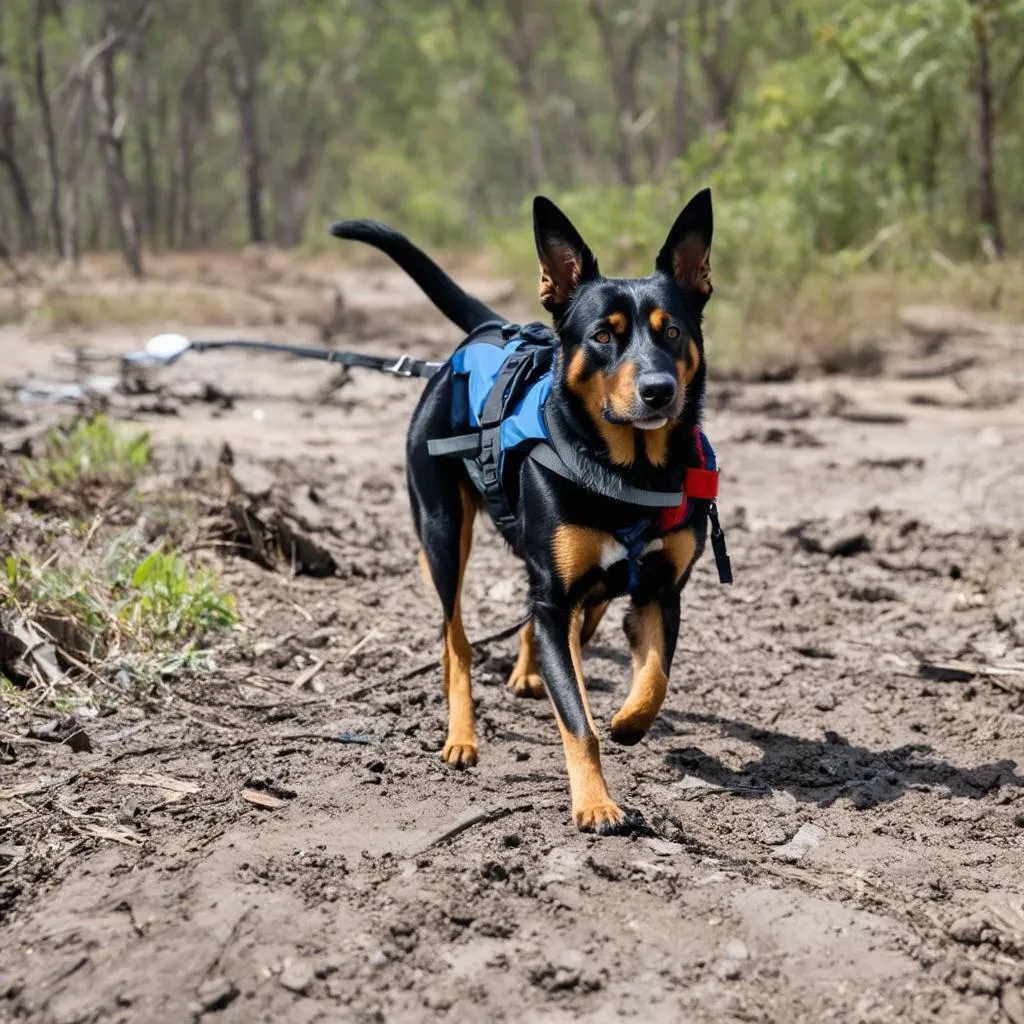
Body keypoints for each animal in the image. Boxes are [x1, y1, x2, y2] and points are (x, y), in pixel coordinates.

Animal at [331, 192, 716, 831]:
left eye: (673, 331)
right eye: (603, 336)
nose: (660, 390)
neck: (627, 471)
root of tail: (489, 332)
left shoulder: (660, 591)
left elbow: (654, 677)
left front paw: (628, 720)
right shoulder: (557, 590)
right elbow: (578, 721)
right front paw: (595, 802)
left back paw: (533, 671)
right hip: (445, 533)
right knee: (455, 640)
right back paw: (463, 732)